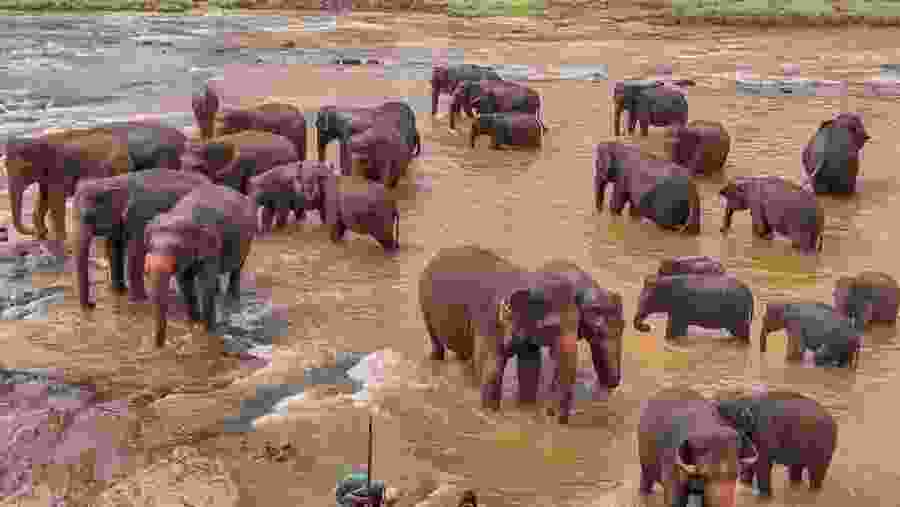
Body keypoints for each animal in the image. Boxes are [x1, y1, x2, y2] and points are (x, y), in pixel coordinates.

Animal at [4, 127, 134, 243]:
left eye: (23, 169)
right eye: (5, 166)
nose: (32, 231)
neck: (37, 140)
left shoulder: (59, 170)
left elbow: (55, 200)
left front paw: (60, 240)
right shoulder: (46, 176)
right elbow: (43, 199)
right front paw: (41, 235)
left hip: (118, 168)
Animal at [74, 168, 212, 309]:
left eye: (89, 217)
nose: (92, 304)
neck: (113, 181)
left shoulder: (140, 218)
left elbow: (135, 252)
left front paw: (138, 300)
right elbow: (114, 248)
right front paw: (118, 291)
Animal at [143, 183, 256, 347]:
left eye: (177, 248)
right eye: (150, 245)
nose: (159, 346)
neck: (182, 213)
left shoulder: (212, 245)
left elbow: (205, 283)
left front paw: (208, 331)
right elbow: (185, 282)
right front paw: (193, 323)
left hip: (247, 240)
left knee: (237, 269)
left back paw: (232, 299)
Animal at [418, 245, 583, 423]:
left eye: (578, 324)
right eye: (551, 328)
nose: (553, 415)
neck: (528, 279)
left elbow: (530, 365)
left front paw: (525, 409)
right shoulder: (489, 321)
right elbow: (493, 366)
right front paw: (490, 412)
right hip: (424, 304)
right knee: (435, 339)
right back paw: (437, 359)